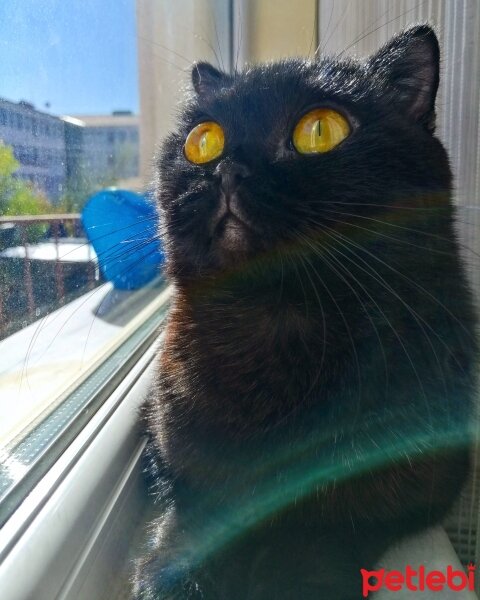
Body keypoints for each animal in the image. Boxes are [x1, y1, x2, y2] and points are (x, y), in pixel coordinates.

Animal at [132, 25, 480, 596]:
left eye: (320, 131)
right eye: (203, 140)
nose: (228, 169)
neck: (277, 324)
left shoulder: (414, 480)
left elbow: (328, 531)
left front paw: (292, 572)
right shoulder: (182, 451)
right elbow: (195, 506)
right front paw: (170, 570)